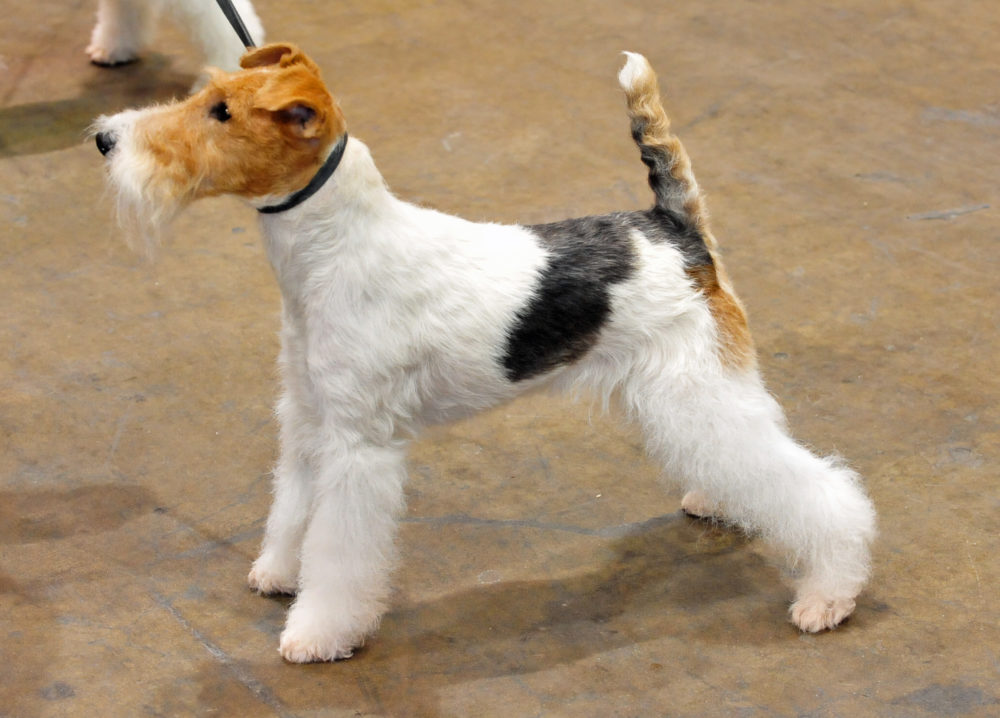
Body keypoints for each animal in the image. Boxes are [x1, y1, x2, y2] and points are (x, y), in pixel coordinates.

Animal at [94, 43, 876, 664]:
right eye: (206, 94)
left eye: (222, 112)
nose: (103, 138)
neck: (336, 248)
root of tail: (673, 226)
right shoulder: (310, 417)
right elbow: (294, 511)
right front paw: (278, 573)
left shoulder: (358, 446)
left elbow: (340, 553)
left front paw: (317, 633)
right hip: (686, 394)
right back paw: (719, 499)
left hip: (696, 386)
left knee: (822, 490)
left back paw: (829, 594)